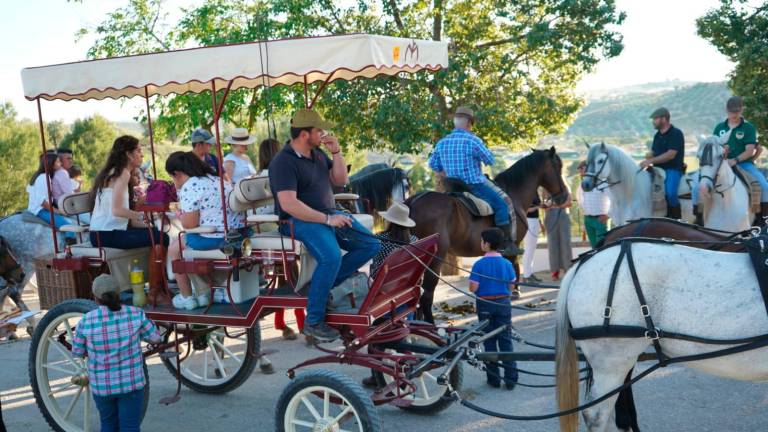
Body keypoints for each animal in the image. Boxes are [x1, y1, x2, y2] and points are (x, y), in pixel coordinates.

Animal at [408, 147, 568, 322]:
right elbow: (512, 270)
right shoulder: (512, 246)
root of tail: (412, 203)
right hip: (434, 259)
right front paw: (514, 293)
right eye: (558, 166)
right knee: (426, 295)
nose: (564, 196)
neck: (514, 194)